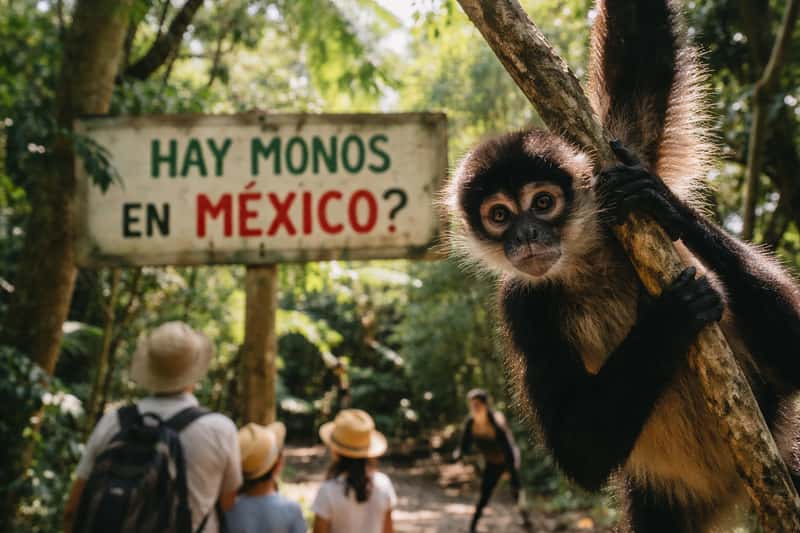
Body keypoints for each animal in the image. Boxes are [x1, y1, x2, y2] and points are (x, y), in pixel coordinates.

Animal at [442, 1, 800, 531]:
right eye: (500, 216)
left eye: (543, 203)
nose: (526, 237)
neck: (588, 261)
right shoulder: (521, 302)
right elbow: (580, 454)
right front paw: (670, 318)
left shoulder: (615, 171)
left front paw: (666, 204)